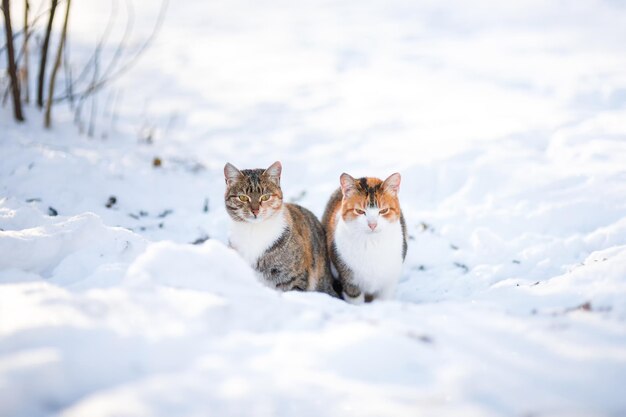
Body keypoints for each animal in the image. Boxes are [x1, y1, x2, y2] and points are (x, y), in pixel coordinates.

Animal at [322, 172, 404, 302]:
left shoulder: (388, 282)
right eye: (360, 211)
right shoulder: (349, 280)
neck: (371, 243)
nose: (372, 225)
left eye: (384, 210)